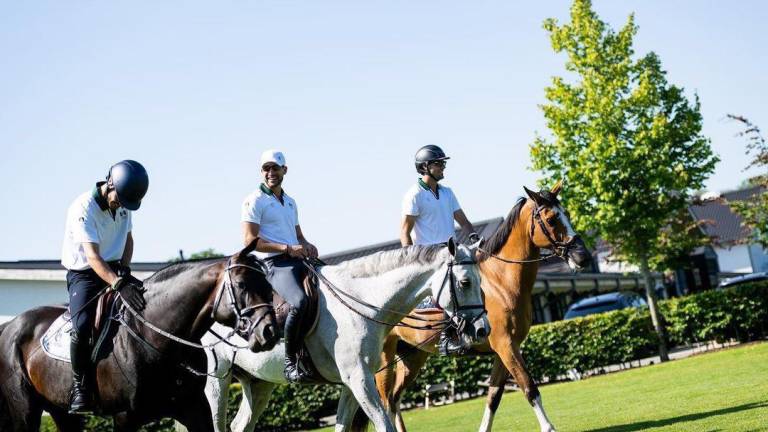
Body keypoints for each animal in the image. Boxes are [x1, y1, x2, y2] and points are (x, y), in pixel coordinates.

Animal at [0, 240, 280, 432]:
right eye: (242, 285)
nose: (269, 331)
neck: (158, 339)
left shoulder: (194, 409)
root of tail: (10, 326)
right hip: (25, 411)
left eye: (268, 285)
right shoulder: (125, 417)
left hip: (61, 411)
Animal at [201, 240, 484, 432]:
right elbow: (384, 424)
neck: (363, 301)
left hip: (258, 383)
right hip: (218, 381)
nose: (482, 329)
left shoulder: (353, 382)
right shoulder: (359, 379)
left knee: (240, 425)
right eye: (465, 282)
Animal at [364, 182, 592, 432]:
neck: (500, 282)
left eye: (567, 214)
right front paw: (548, 427)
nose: (583, 258)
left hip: (412, 357)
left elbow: (494, 396)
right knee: (385, 402)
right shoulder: (506, 346)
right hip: (385, 359)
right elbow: (529, 388)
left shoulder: (505, 349)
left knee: (394, 399)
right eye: (551, 219)